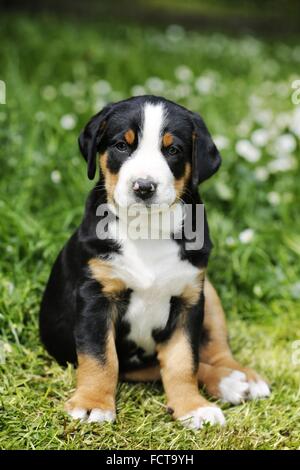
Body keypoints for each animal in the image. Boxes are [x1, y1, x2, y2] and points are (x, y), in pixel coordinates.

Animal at [38, 95, 270, 430]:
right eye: (122, 145)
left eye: (172, 150)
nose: (144, 187)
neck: (146, 228)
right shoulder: (96, 297)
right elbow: (101, 358)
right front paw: (93, 404)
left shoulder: (188, 300)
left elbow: (184, 360)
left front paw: (192, 407)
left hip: (209, 293)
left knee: (215, 350)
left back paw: (238, 378)